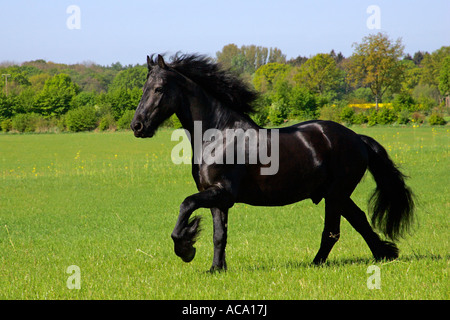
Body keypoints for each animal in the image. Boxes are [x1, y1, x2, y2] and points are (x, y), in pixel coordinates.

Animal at [131, 53, 414, 272]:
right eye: (143, 89)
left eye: (158, 89)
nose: (137, 126)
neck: (218, 135)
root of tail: (358, 139)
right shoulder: (216, 197)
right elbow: (219, 235)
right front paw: (216, 268)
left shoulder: (222, 192)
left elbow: (186, 205)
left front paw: (186, 248)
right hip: (337, 194)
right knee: (359, 220)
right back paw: (384, 254)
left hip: (335, 195)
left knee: (333, 231)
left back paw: (317, 263)